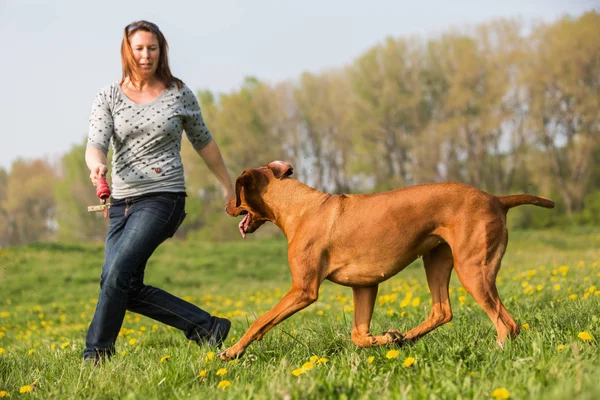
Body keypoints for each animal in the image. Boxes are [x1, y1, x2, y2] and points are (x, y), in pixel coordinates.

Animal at [220, 161, 552, 360]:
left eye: (236, 193)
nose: (225, 207)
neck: (299, 208)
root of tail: (497, 199)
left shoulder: (303, 290)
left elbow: (260, 321)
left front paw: (232, 352)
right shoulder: (365, 286)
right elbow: (358, 335)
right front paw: (386, 338)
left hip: (472, 270)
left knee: (506, 324)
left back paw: (497, 351)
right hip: (436, 260)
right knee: (442, 311)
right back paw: (404, 337)